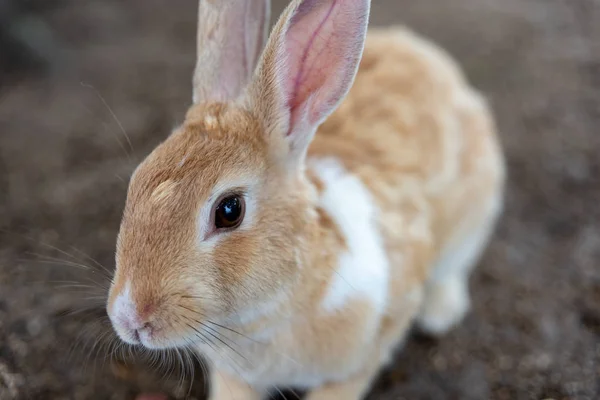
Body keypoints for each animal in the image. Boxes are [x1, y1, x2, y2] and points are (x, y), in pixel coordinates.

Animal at [104, 0, 506, 400]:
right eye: (137, 179)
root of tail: (421, 51)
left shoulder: (360, 361)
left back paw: (440, 313)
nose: (130, 320)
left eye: (229, 211)